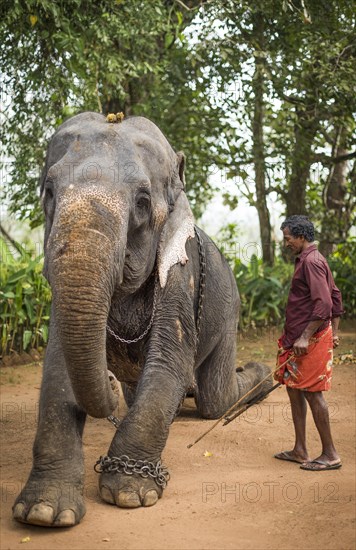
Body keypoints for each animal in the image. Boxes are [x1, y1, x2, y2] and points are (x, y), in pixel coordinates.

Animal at [12, 110, 272, 528]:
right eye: (49, 192)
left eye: (142, 201)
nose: (109, 384)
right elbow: (57, 367)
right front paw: (43, 512)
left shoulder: (182, 274)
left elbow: (168, 363)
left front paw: (130, 493)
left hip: (230, 308)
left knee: (215, 401)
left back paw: (257, 375)